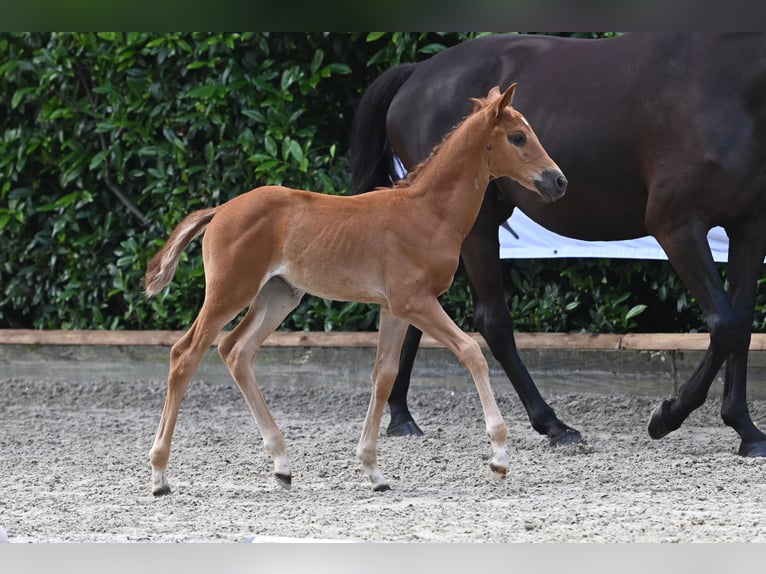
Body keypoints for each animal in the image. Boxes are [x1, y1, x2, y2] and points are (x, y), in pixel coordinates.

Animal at [144, 84, 568, 496]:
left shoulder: (394, 309)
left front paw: (374, 471)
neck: (428, 212)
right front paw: (499, 456)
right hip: (229, 292)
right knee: (185, 354)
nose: (558, 180)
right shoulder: (415, 301)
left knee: (236, 351)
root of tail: (219, 210)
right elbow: (471, 351)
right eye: (517, 137)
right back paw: (160, 476)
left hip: (278, 295)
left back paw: (282, 465)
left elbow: (384, 375)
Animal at [352, 35, 766, 460]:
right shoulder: (677, 226)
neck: (726, 78)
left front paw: (747, 430)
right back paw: (554, 425)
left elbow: (742, 322)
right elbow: (724, 323)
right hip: (476, 226)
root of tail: (416, 73)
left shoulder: (750, 228)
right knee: (491, 321)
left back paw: (402, 418)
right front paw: (665, 416)